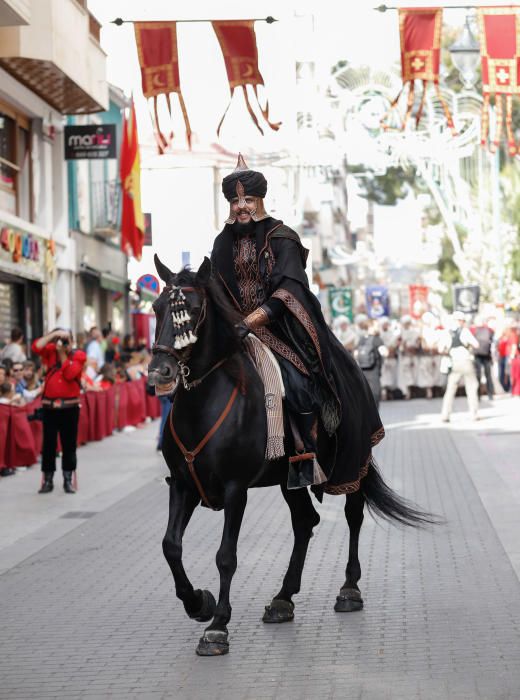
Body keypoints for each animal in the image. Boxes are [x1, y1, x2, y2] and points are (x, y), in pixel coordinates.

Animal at [148, 258, 432, 656]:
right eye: (156, 308)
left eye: (192, 308)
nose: (160, 371)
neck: (206, 404)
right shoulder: (183, 484)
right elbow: (170, 547)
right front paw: (198, 603)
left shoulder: (236, 490)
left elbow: (226, 556)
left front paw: (218, 626)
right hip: (291, 478)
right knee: (305, 521)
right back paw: (283, 598)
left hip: (353, 460)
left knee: (353, 515)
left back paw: (349, 589)